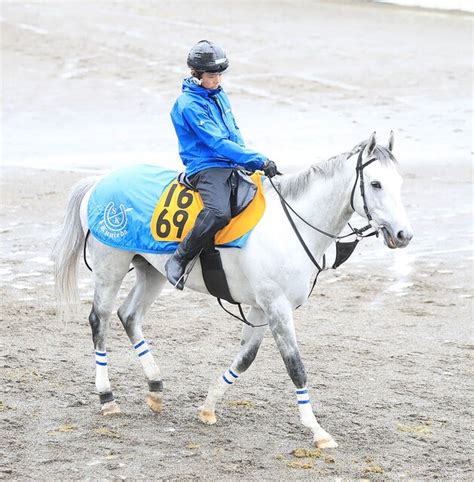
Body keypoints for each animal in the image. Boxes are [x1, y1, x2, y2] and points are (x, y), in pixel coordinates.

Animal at [53, 131, 412, 448]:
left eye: (399, 183)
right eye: (376, 184)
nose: (403, 234)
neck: (291, 227)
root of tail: (99, 182)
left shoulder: (259, 309)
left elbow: (245, 359)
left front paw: (208, 407)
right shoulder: (276, 306)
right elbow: (295, 366)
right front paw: (317, 430)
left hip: (151, 272)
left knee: (129, 316)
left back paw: (155, 387)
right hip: (110, 267)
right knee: (100, 321)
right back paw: (107, 397)